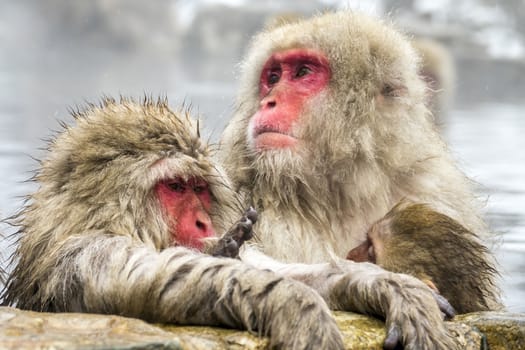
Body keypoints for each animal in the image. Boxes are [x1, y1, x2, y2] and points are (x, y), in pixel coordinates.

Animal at [1, 96, 454, 350]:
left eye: (199, 188)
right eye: (175, 187)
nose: (203, 222)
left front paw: (396, 288)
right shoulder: (85, 252)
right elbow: (165, 278)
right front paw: (298, 306)